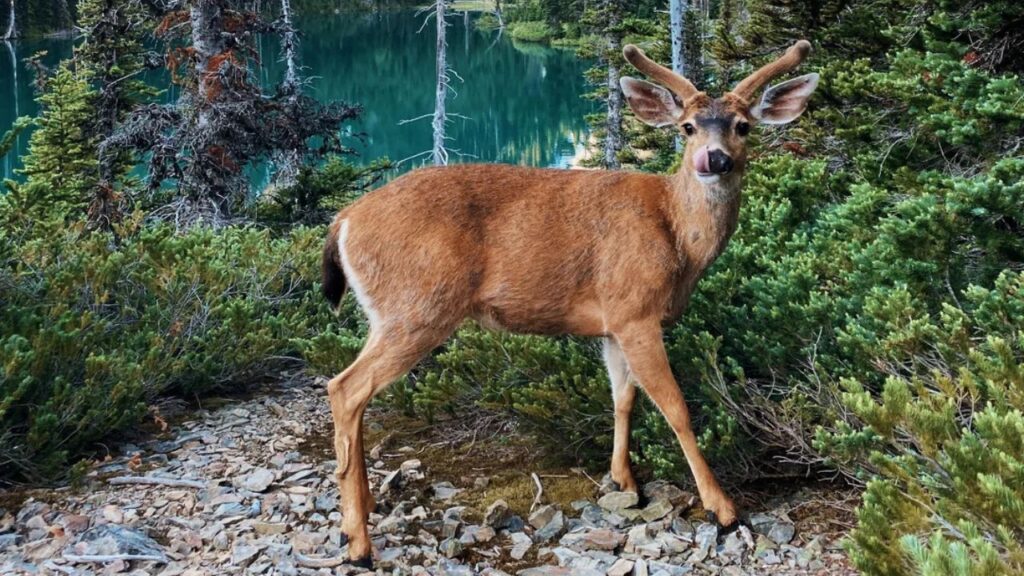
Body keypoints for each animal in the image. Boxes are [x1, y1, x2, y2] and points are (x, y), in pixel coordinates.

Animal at [320, 40, 819, 567]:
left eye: (742, 125)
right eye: (687, 126)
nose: (714, 159)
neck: (678, 238)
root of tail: (343, 221)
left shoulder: (614, 321)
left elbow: (622, 398)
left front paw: (624, 481)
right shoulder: (637, 308)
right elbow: (676, 408)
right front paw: (722, 509)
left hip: (392, 312)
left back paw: (360, 512)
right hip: (416, 306)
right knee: (345, 388)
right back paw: (359, 543)